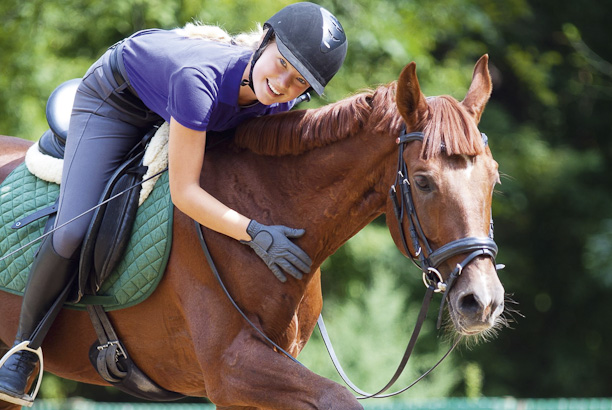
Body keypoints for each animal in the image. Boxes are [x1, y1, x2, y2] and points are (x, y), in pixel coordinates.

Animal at [1, 55, 502, 410]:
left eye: (494, 178)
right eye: (424, 181)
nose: (482, 301)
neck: (265, 200)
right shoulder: (233, 369)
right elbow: (337, 398)